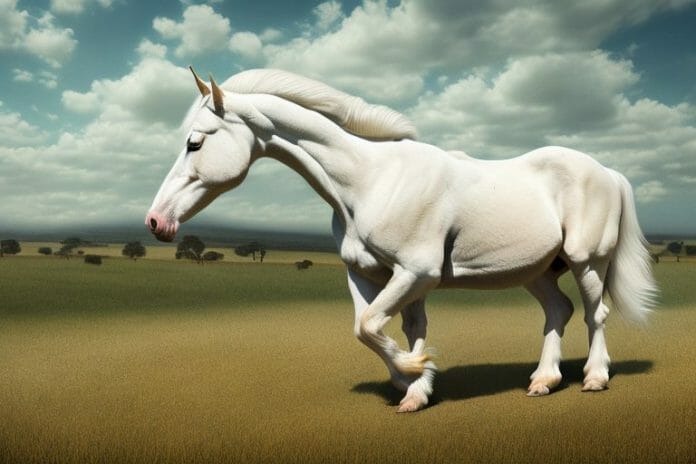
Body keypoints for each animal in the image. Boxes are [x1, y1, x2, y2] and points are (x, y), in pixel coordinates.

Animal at [145, 68, 658, 413]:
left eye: (195, 142)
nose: (155, 222)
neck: (369, 181)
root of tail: (607, 172)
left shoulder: (416, 272)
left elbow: (372, 325)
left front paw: (416, 373)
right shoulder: (369, 274)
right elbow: (379, 326)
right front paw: (412, 385)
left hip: (587, 261)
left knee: (595, 313)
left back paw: (594, 378)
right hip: (536, 270)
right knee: (558, 311)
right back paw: (543, 381)